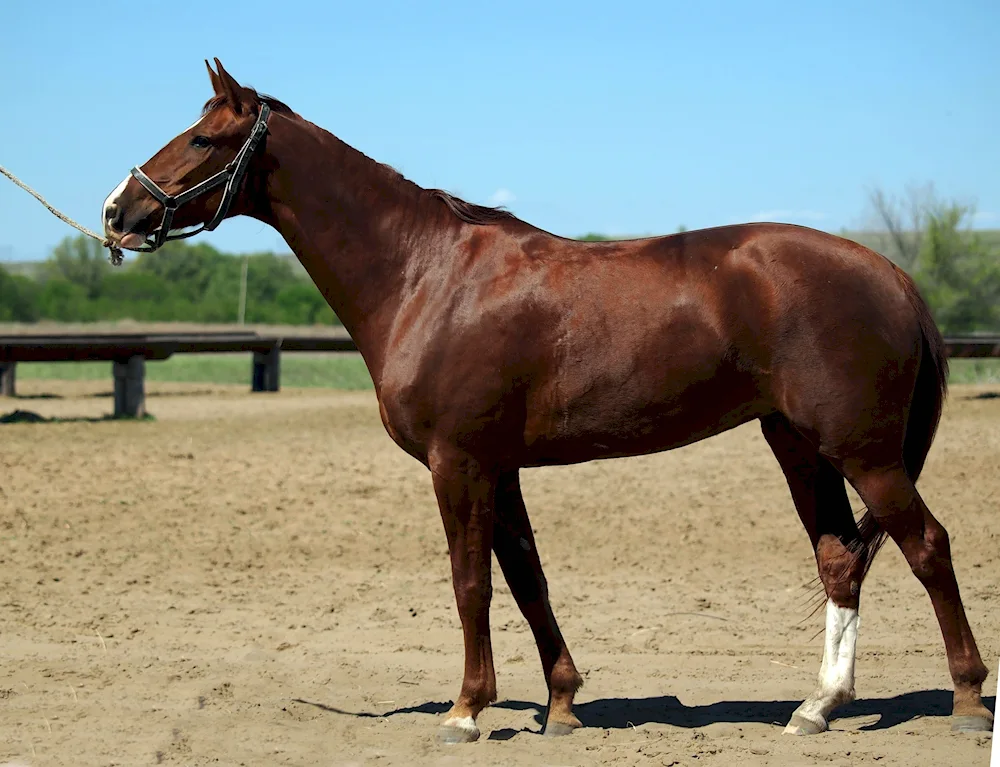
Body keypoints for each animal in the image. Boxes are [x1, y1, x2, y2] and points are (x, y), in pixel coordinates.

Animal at [101, 60, 992, 744]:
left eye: (204, 139)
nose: (118, 210)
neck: (426, 273)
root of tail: (889, 272)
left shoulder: (458, 463)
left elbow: (471, 583)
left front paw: (465, 712)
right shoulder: (501, 468)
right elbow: (529, 578)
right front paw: (562, 702)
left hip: (864, 452)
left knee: (927, 546)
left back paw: (967, 698)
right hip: (800, 445)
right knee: (841, 557)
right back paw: (817, 707)